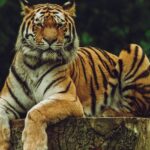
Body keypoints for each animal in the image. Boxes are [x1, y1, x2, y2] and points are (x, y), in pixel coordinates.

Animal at [0, 0, 149, 150]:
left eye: (59, 25)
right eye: (40, 24)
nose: (50, 40)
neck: (34, 65)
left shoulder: (67, 97)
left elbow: (35, 111)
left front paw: (34, 145)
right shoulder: (6, 101)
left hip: (134, 48)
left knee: (136, 109)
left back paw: (107, 112)